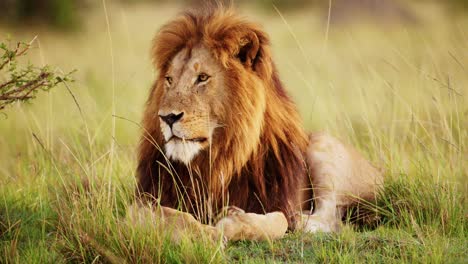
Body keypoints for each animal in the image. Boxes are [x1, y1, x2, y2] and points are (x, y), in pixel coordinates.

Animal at [129, 6, 384, 241]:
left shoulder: (277, 202)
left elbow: (279, 221)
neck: (215, 160)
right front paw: (204, 233)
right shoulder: (143, 200)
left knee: (331, 217)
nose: (167, 117)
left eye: (202, 77)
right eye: (169, 80)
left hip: (323, 144)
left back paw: (301, 220)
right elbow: (162, 215)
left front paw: (229, 220)